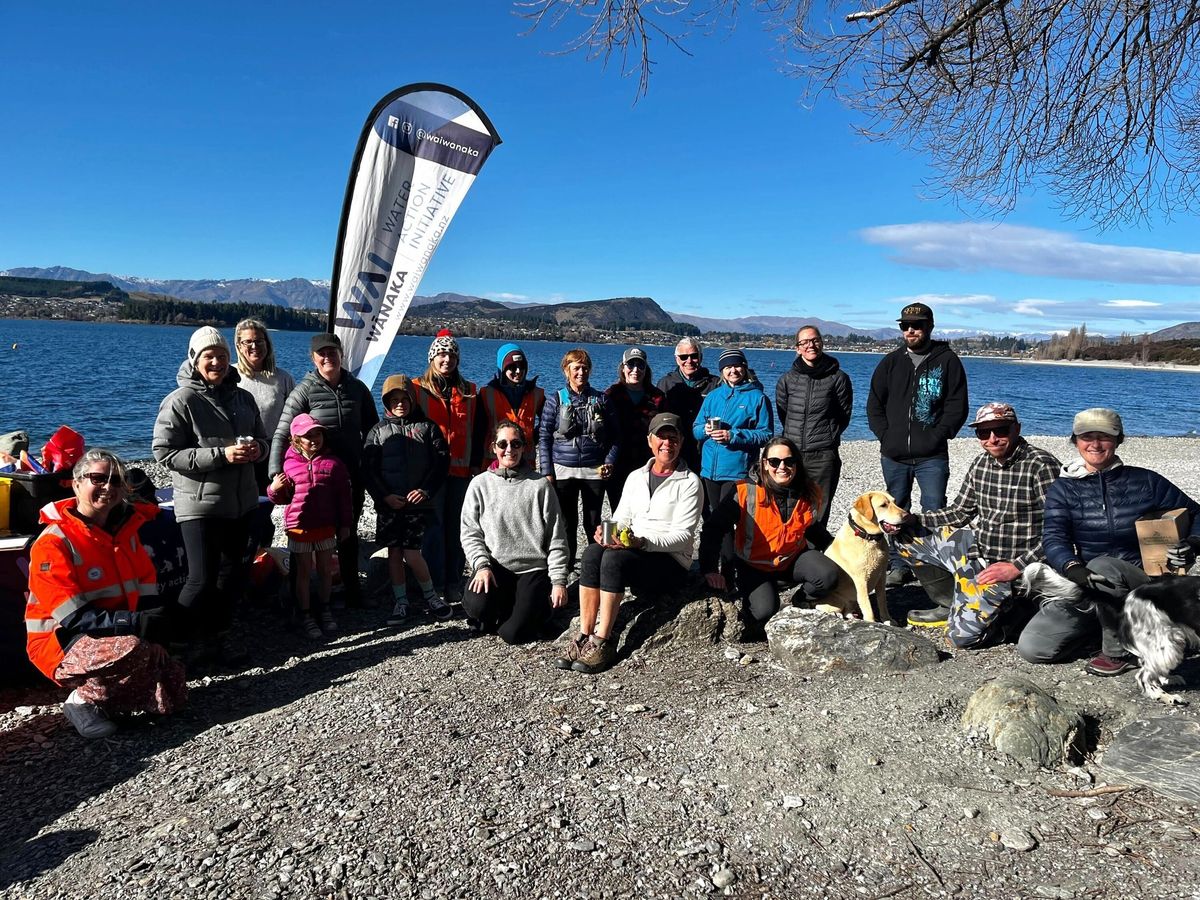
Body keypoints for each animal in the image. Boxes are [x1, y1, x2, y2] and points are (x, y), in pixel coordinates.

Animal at [820, 494, 902, 628]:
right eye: (883, 505)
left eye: (895, 502)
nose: (906, 515)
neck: (869, 537)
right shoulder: (861, 580)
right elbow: (868, 607)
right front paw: (872, 623)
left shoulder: (881, 576)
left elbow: (882, 602)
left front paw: (887, 620)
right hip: (836, 600)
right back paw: (835, 613)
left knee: (848, 611)